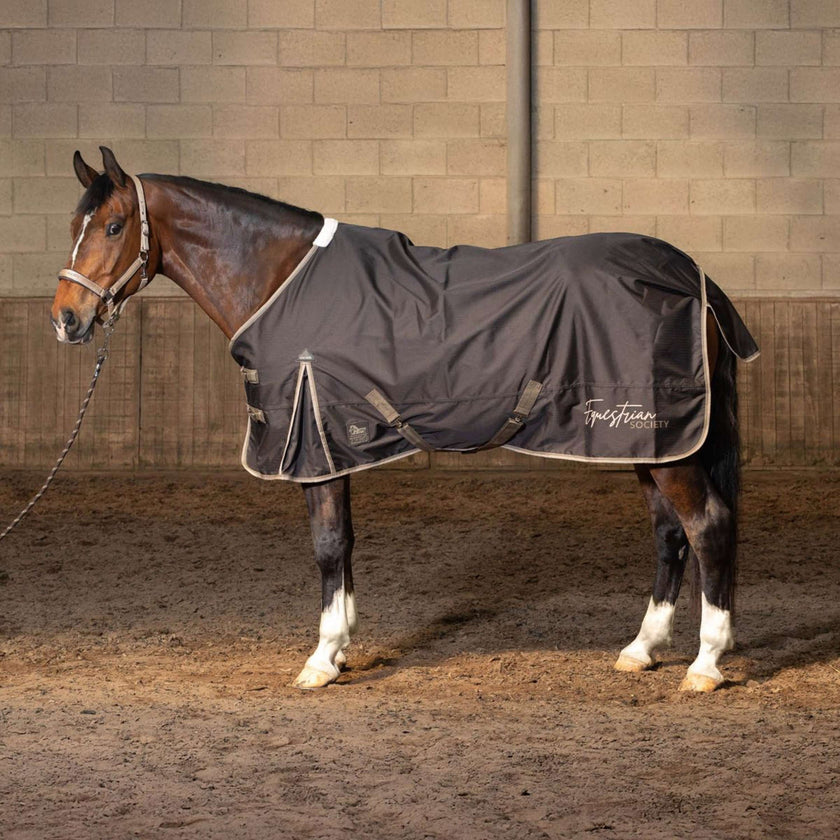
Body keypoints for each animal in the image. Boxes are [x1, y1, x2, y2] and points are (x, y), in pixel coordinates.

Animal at [51, 147, 757, 692]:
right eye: (74, 224)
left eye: (113, 226)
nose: (66, 319)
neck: (280, 280)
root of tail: (694, 277)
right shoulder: (333, 444)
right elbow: (343, 545)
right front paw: (338, 650)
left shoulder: (316, 444)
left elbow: (328, 545)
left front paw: (320, 660)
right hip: (647, 441)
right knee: (669, 535)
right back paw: (641, 650)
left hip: (665, 443)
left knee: (708, 527)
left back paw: (705, 664)